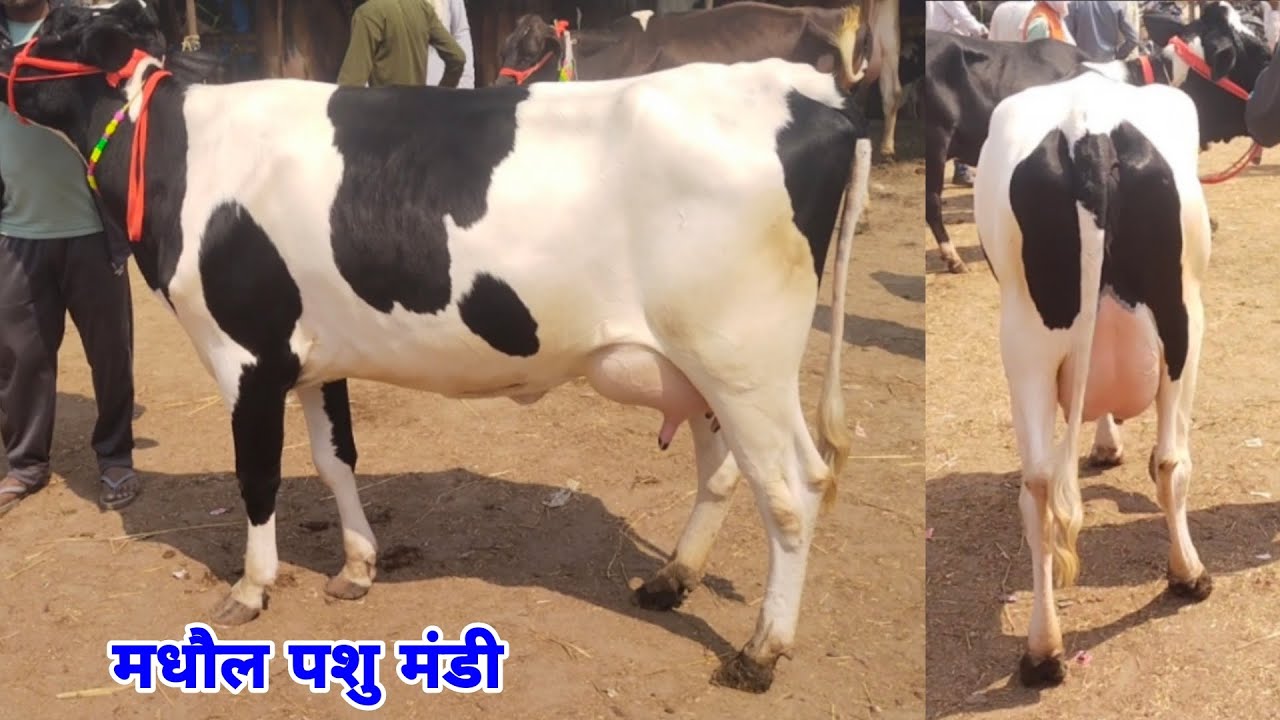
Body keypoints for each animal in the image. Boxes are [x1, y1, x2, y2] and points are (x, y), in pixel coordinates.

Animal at [0, 0, 873, 693]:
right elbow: (335, 461)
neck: (183, 153)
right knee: (723, 470)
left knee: (793, 490)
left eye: (58, 26)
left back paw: (760, 652)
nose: (3, 61)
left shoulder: (246, 354)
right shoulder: (310, 355)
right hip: (696, 366)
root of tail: (815, 98)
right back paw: (671, 579)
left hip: (744, 360)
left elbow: (258, 478)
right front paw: (356, 567)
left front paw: (251, 589)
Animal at [972, 33, 1225, 691]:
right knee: (1170, 460)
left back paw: (1042, 649)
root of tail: (1087, 133)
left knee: (1039, 484)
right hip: (1184, 323)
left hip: (1028, 345)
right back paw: (1187, 574)